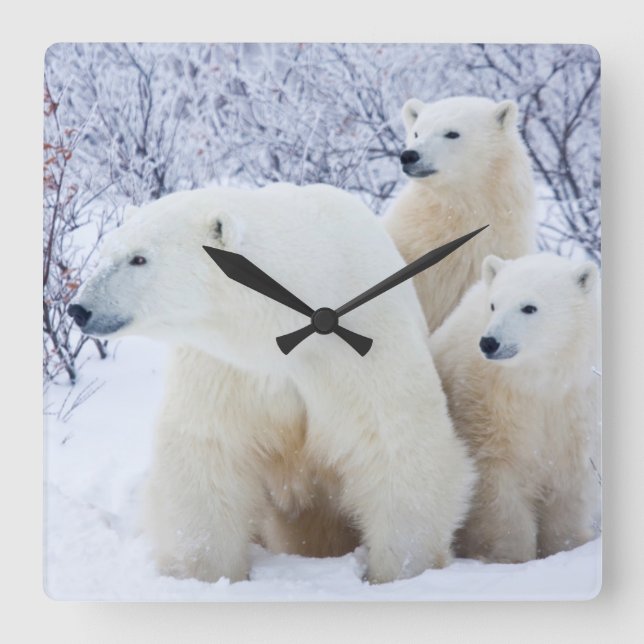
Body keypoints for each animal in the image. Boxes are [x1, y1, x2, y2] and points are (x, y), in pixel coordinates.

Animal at [69, 182, 476, 584]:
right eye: (105, 251)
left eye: (139, 258)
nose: (79, 309)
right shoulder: (225, 368)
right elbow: (207, 452)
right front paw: (206, 574)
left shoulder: (360, 350)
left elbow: (395, 447)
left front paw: (401, 571)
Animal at [429, 252, 601, 563]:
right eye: (493, 304)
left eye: (529, 307)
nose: (489, 342)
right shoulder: (488, 406)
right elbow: (498, 486)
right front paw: (512, 558)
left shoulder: (575, 409)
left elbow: (569, 486)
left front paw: (565, 547)